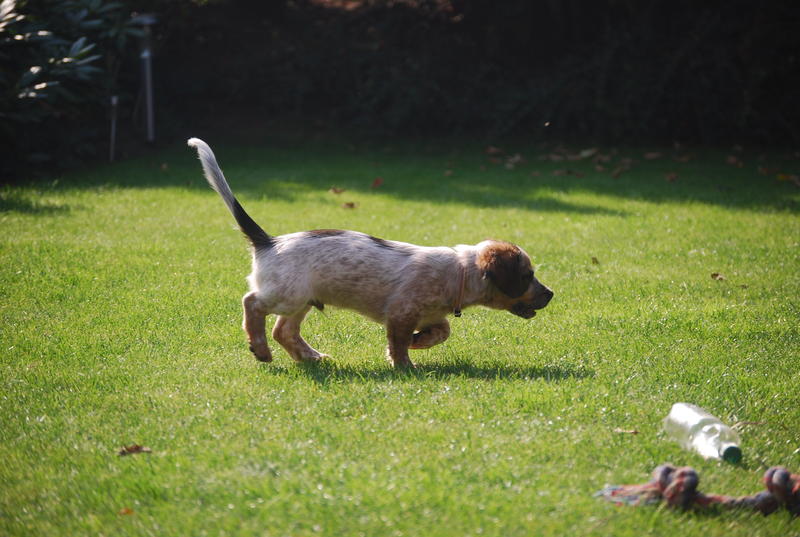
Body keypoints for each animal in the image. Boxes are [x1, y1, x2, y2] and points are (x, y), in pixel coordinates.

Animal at [189, 136, 552, 366]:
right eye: (527, 275)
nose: (551, 295)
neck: (460, 272)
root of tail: (268, 241)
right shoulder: (402, 312)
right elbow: (399, 343)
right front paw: (406, 365)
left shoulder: (432, 314)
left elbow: (442, 331)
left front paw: (421, 341)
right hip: (287, 295)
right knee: (252, 304)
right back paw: (260, 349)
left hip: (303, 299)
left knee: (284, 330)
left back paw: (311, 357)